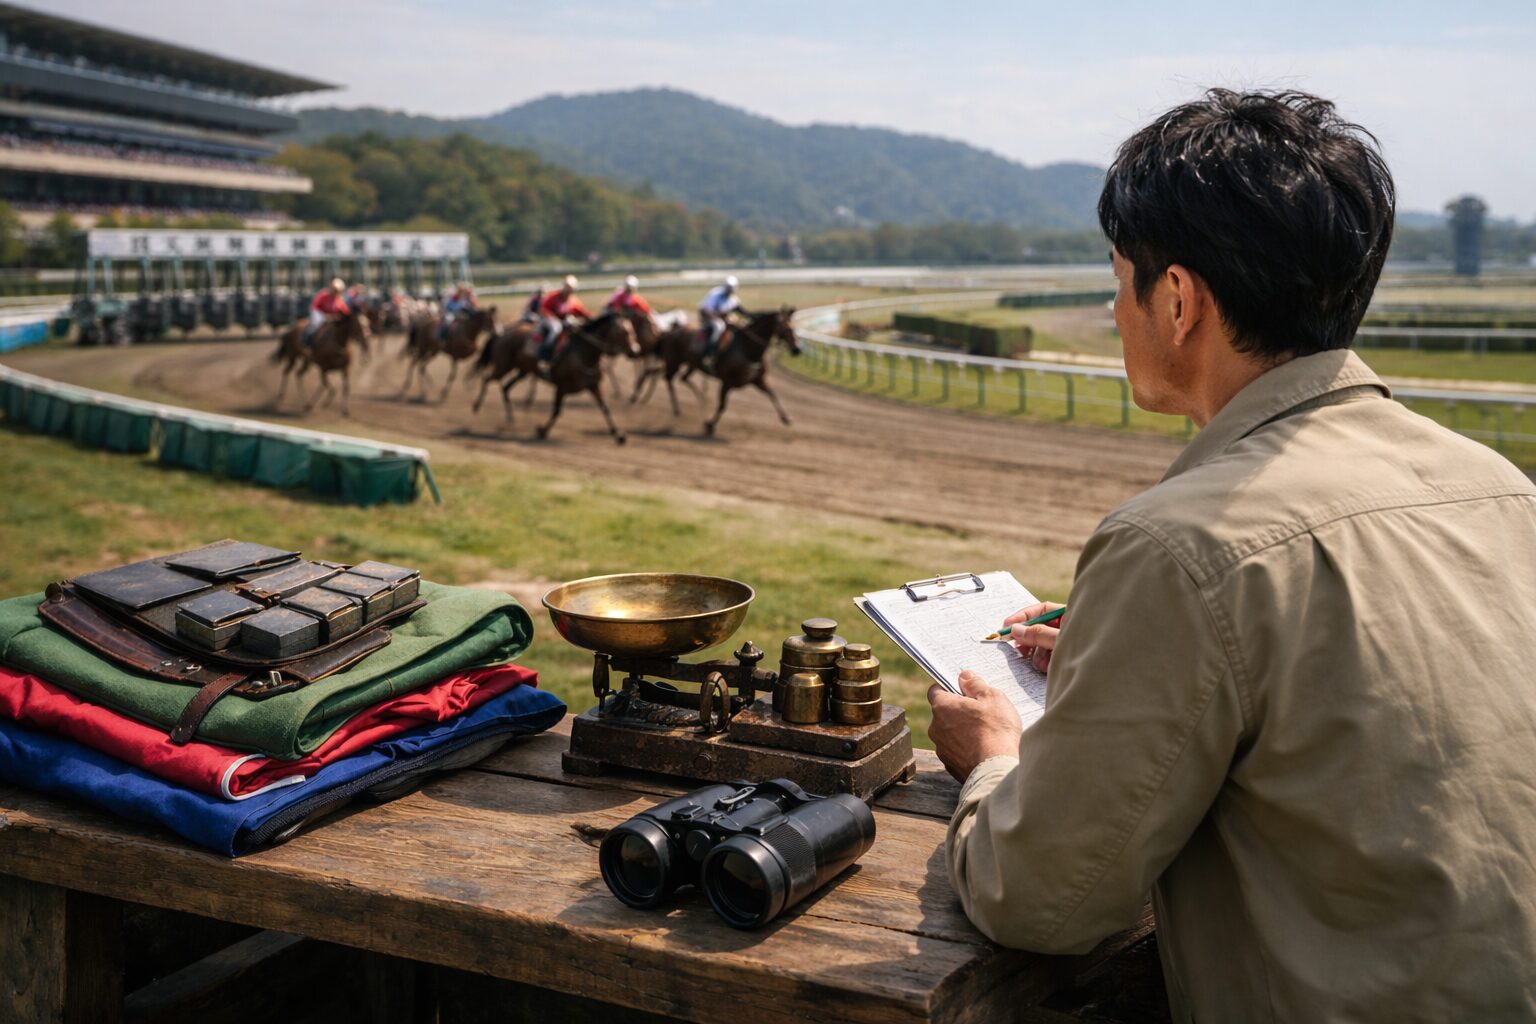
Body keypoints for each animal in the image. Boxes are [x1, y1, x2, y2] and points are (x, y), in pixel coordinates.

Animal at [470, 312, 639, 443]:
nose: (635, 351)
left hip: (523, 371)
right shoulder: (561, 386)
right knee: (487, 379)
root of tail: (503, 331)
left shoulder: (594, 385)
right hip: (503, 366)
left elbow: (605, 408)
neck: (582, 353)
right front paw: (542, 430)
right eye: (622, 332)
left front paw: (619, 435)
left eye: (631, 330)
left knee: (505, 387)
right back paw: (476, 406)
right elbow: (556, 411)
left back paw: (510, 417)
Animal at [635, 308, 801, 435]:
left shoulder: (759, 380)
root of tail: (669, 332)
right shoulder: (727, 382)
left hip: (690, 363)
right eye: (788, 328)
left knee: (675, 376)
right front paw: (709, 425)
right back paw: (672, 407)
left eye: (795, 327)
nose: (797, 349)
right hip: (674, 362)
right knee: (667, 378)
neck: (748, 349)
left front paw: (786, 418)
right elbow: (722, 405)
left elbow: (773, 394)